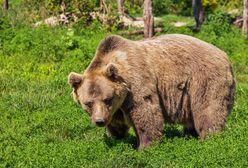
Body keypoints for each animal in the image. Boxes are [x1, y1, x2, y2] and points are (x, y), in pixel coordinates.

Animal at [68, 34, 234, 148]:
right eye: (88, 103)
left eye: (107, 99)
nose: (99, 121)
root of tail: (224, 55)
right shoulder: (116, 107)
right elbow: (116, 122)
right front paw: (116, 138)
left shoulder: (136, 84)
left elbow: (146, 112)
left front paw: (145, 146)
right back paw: (189, 135)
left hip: (203, 79)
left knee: (208, 109)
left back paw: (210, 138)